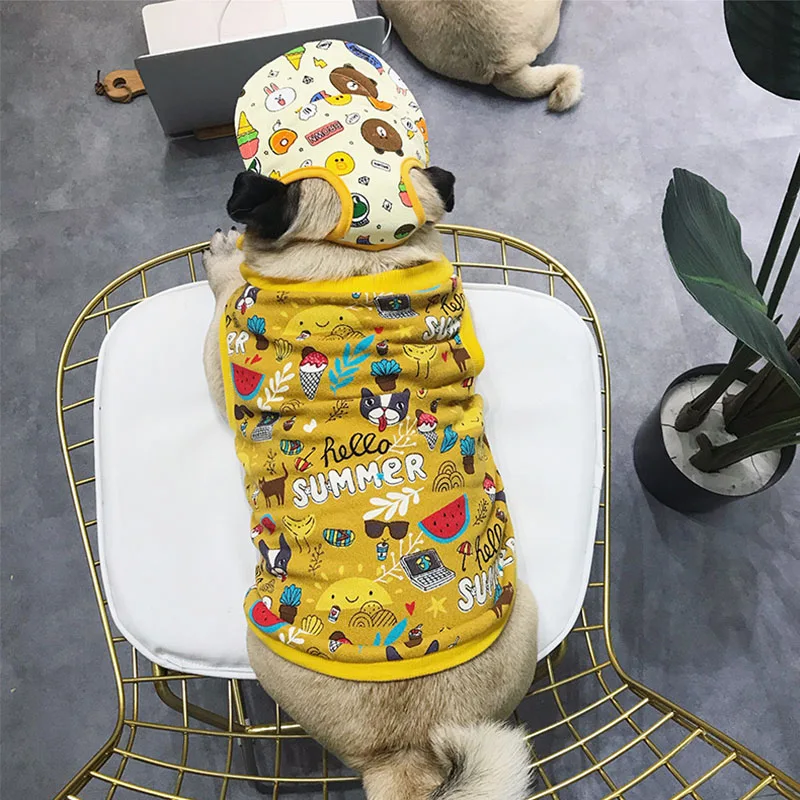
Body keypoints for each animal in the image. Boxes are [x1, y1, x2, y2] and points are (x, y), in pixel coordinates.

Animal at [204, 41, 539, 800]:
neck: (360, 258)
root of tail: (406, 751)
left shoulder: (222, 350)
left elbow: (226, 289)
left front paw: (222, 256)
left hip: (258, 640)